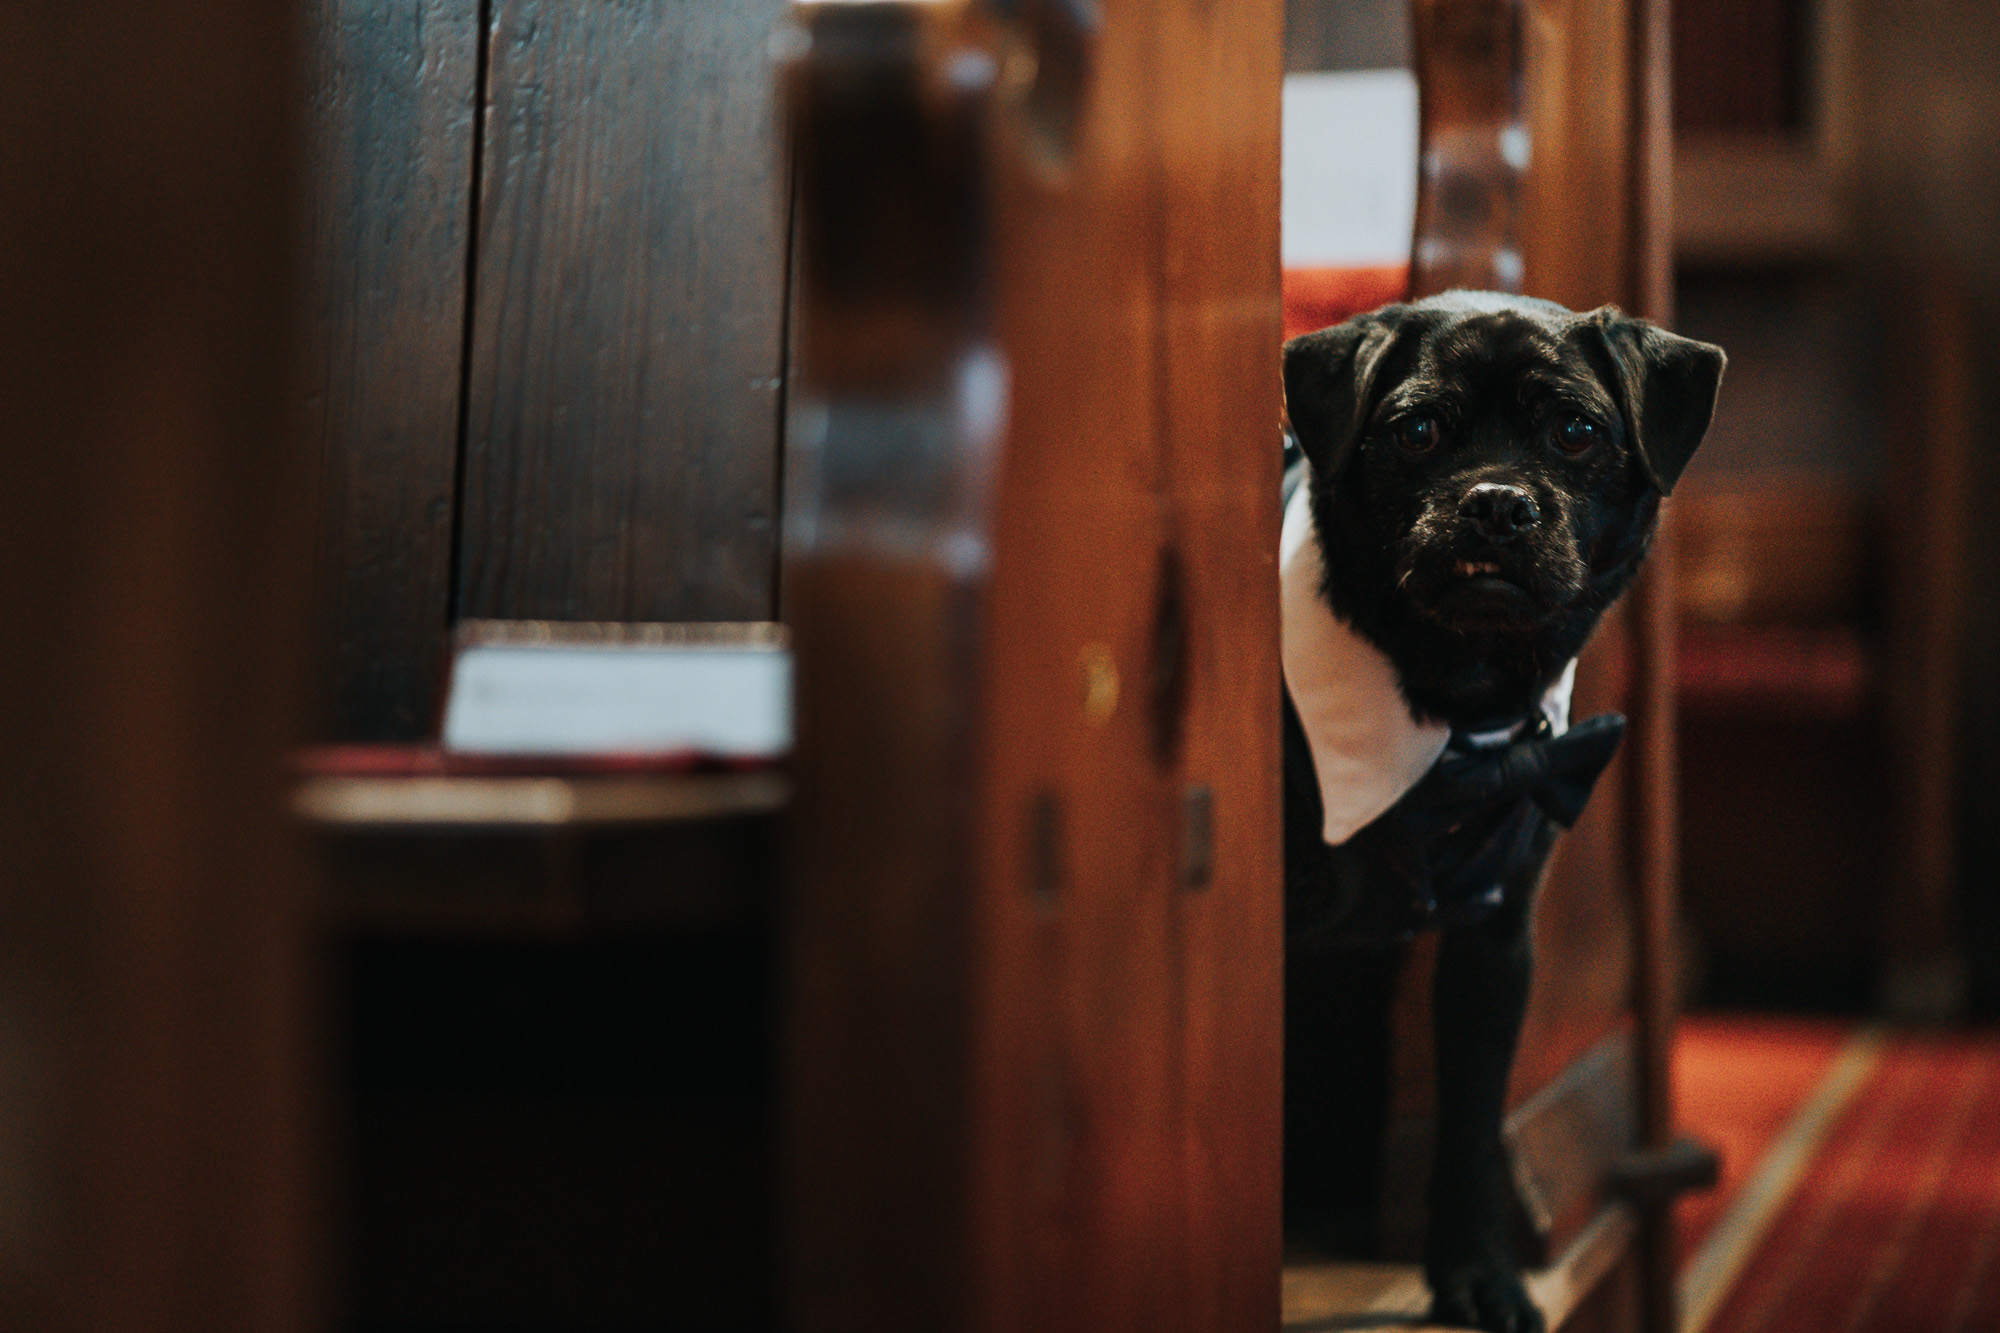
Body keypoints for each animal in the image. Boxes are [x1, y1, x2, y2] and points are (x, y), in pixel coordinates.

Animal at [1288, 294, 1728, 1328]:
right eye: (1416, 431)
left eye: (1575, 431)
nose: (1495, 500)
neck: (1460, 710)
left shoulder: (1495, 948)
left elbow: (1473, 1123)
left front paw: (1476, 1273)